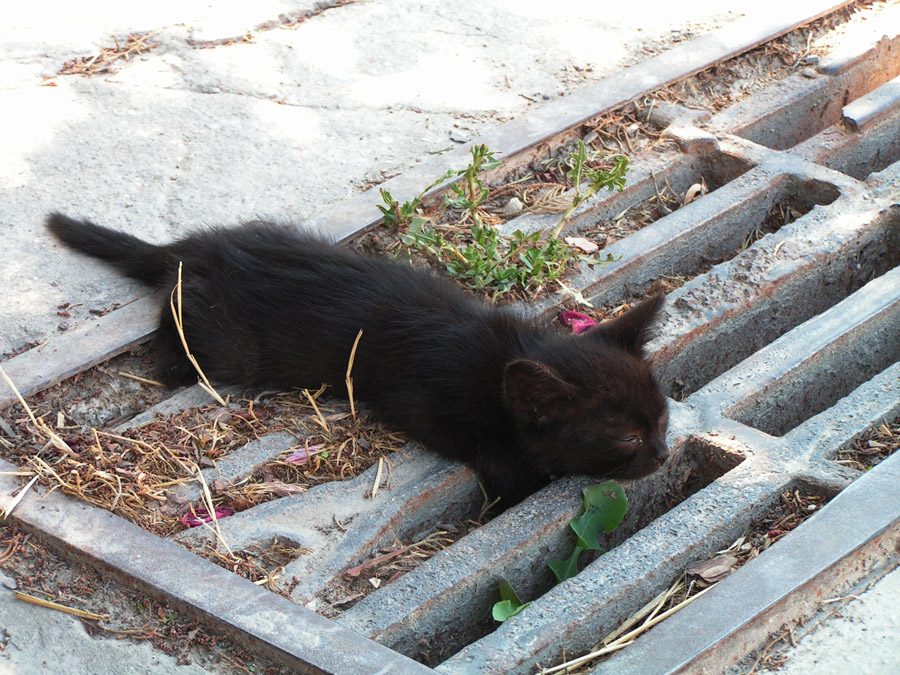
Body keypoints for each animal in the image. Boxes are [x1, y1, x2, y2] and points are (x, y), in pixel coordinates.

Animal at [47, 214, 668, 504]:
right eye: (628, 438)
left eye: (662, 419)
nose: (663, 454)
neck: (501, 355)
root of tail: (194, 247)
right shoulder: (419, 401)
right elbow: (487, 449)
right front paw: (521, 477)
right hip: (226, 343)